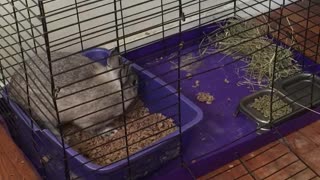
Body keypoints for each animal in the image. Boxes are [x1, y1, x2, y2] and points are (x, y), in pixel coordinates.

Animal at [6, 47, 138, 138]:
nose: (138, 90)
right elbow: (93, 130)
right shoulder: (89, 120)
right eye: (134, 82)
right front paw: (109, 131)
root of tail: (12, 91)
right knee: (47, 126)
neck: (115, 88)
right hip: (44, 113)